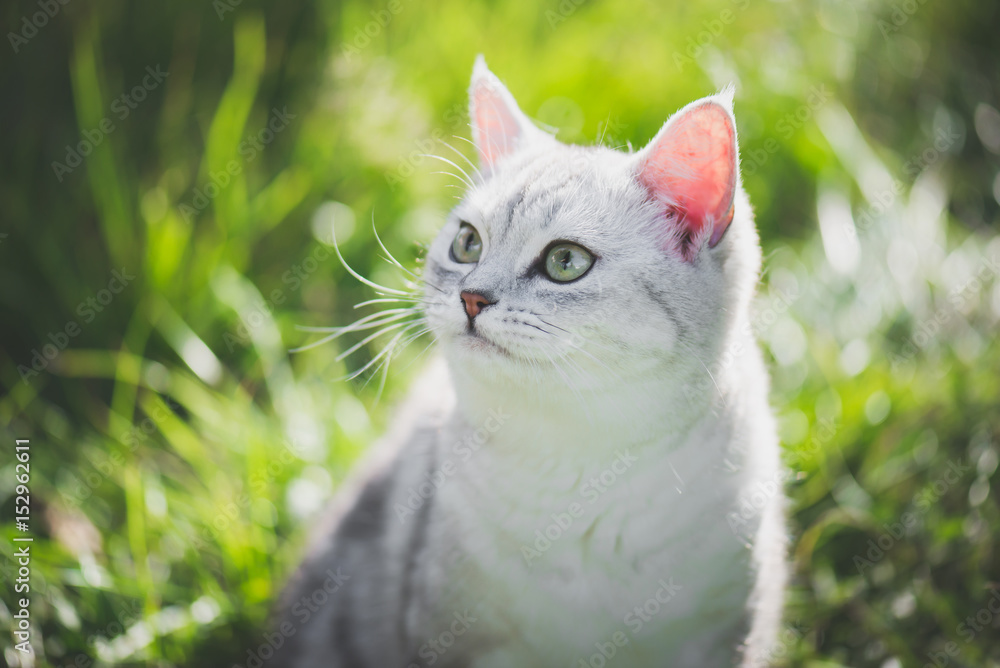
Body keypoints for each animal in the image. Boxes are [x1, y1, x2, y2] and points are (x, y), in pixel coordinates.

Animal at [268, 57, 788, 668]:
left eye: (565, 261)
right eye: (467, 244)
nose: (471, 298)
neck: (574, 463)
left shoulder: (724, 635)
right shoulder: (460, 636)